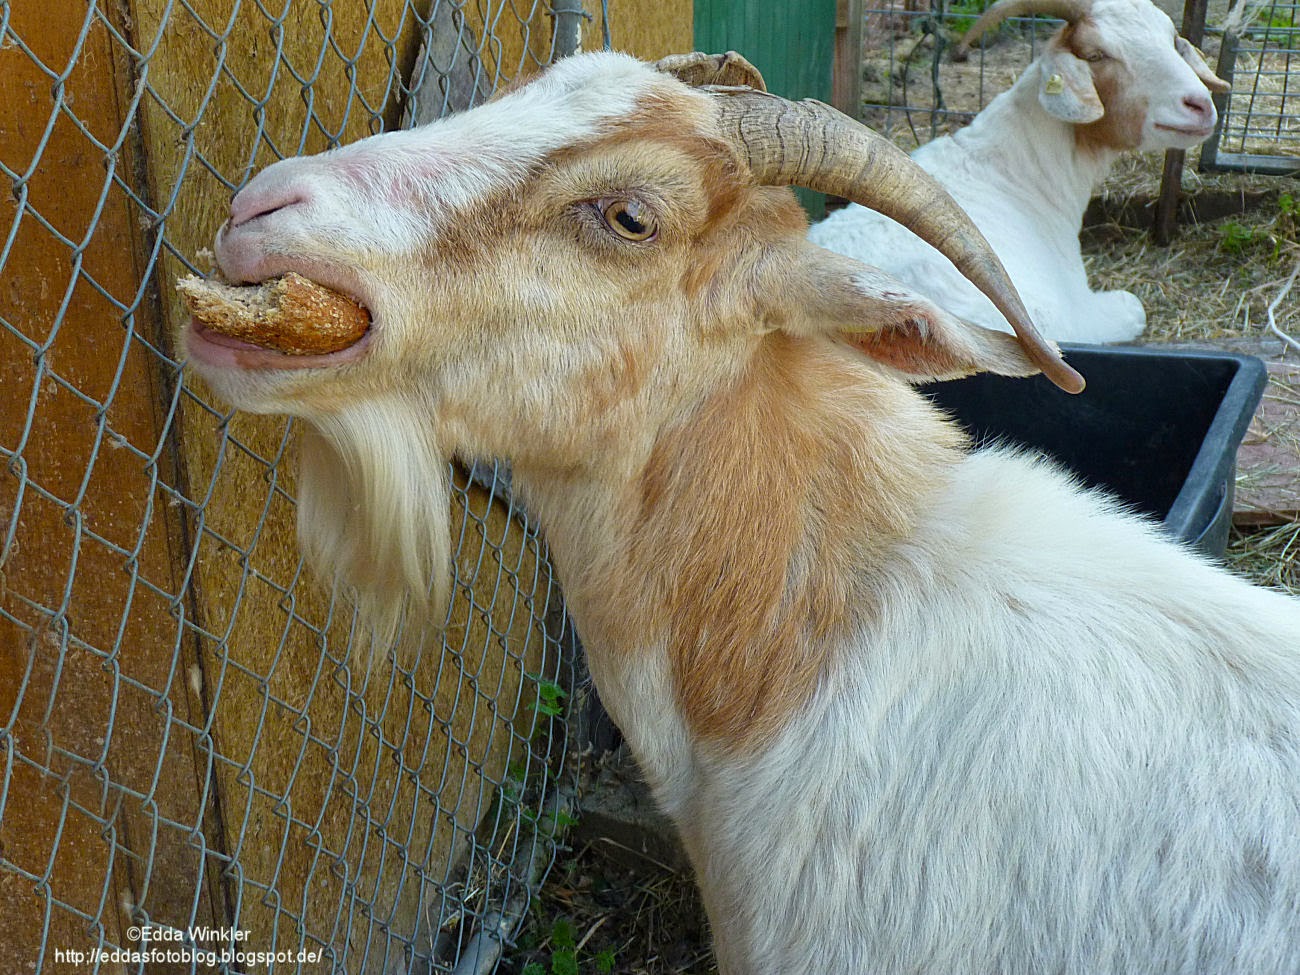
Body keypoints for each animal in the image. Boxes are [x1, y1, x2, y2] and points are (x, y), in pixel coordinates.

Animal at [809, 0, 1230, 343]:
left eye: (1173, 40)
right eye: (1096, 54)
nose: (1198, 105)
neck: (1016, 174)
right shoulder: (1076, 316)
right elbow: (1134, 307)